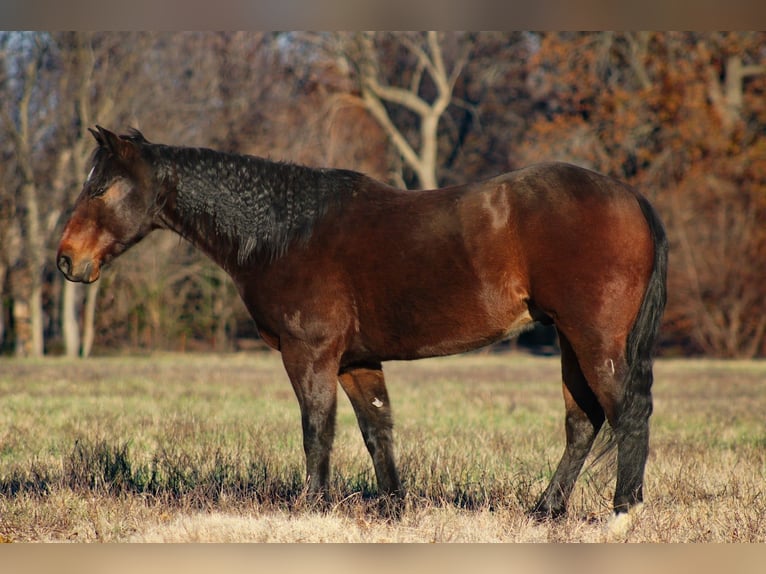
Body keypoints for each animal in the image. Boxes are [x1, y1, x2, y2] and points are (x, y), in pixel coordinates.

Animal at [57, 126, 667, 528]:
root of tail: (630, 195)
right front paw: (393, 508)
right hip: (570, 341)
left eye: (100, 188)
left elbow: (317, 428)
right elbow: (377, 429)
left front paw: (314, 507)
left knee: (627, 413)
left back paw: (622, 515)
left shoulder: (310, 353)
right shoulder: (355, 360)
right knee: (584, 422)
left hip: (593, 340)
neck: (287, 232)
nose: (67, 261)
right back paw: (546, 510)